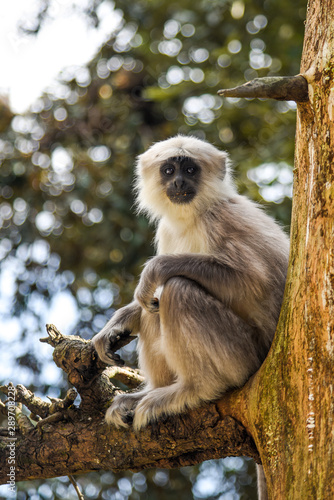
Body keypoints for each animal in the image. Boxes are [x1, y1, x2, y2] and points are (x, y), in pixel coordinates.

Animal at [92, 135, 290, 462]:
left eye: (190, 169)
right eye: (169, 170)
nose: (179, 182)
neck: (194, 215)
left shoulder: (222, 219)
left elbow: (253, 281)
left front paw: (153, 271)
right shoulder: (167, 229)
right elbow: (145, 303)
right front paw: (115, 326)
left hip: (243, 355)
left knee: (177, 288)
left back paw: (193, 390)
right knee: (153, 307)